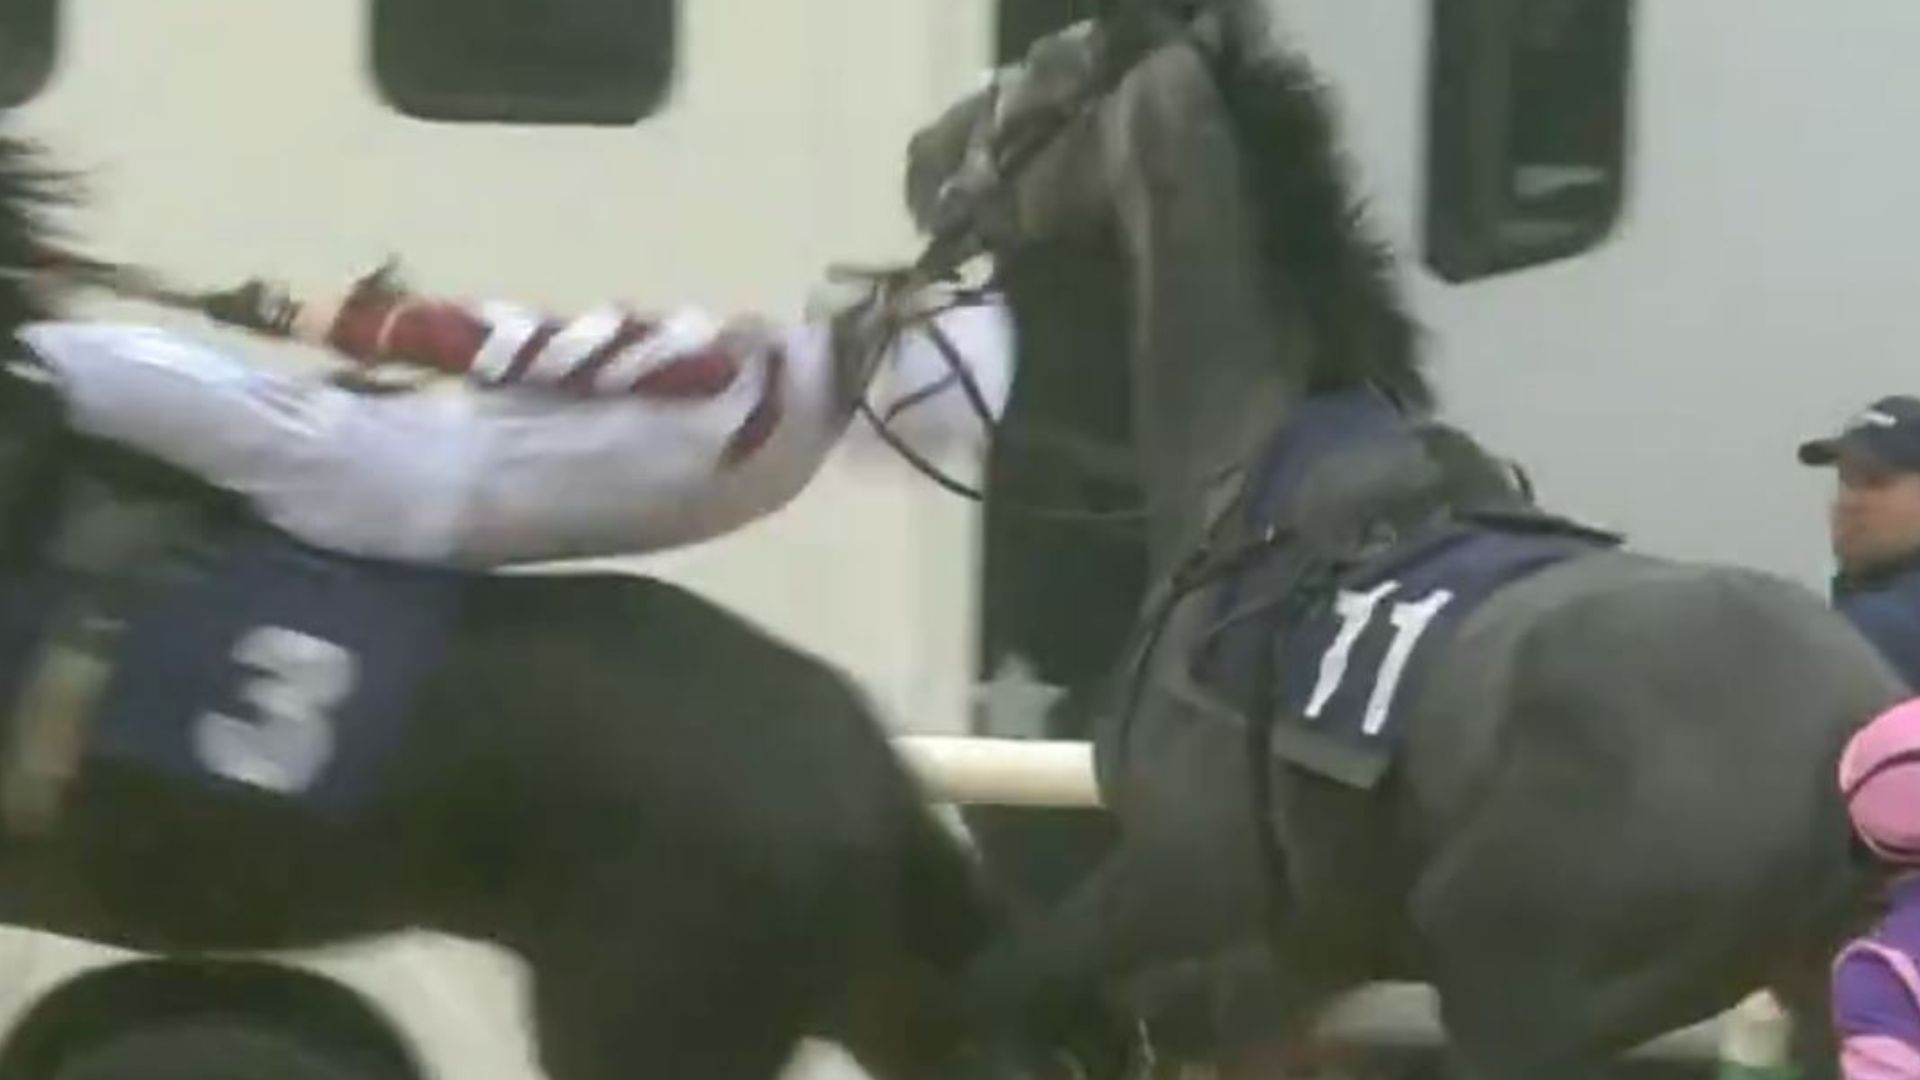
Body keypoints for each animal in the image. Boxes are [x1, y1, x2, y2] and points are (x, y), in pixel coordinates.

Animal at [898, 8, 1904, 1076]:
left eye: (1045, 74)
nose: (922, 155)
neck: (1246, 479)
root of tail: (1851, 738)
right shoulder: (1293, 971)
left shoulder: (1187, 903)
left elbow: (997, 988)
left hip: (1510, 988)